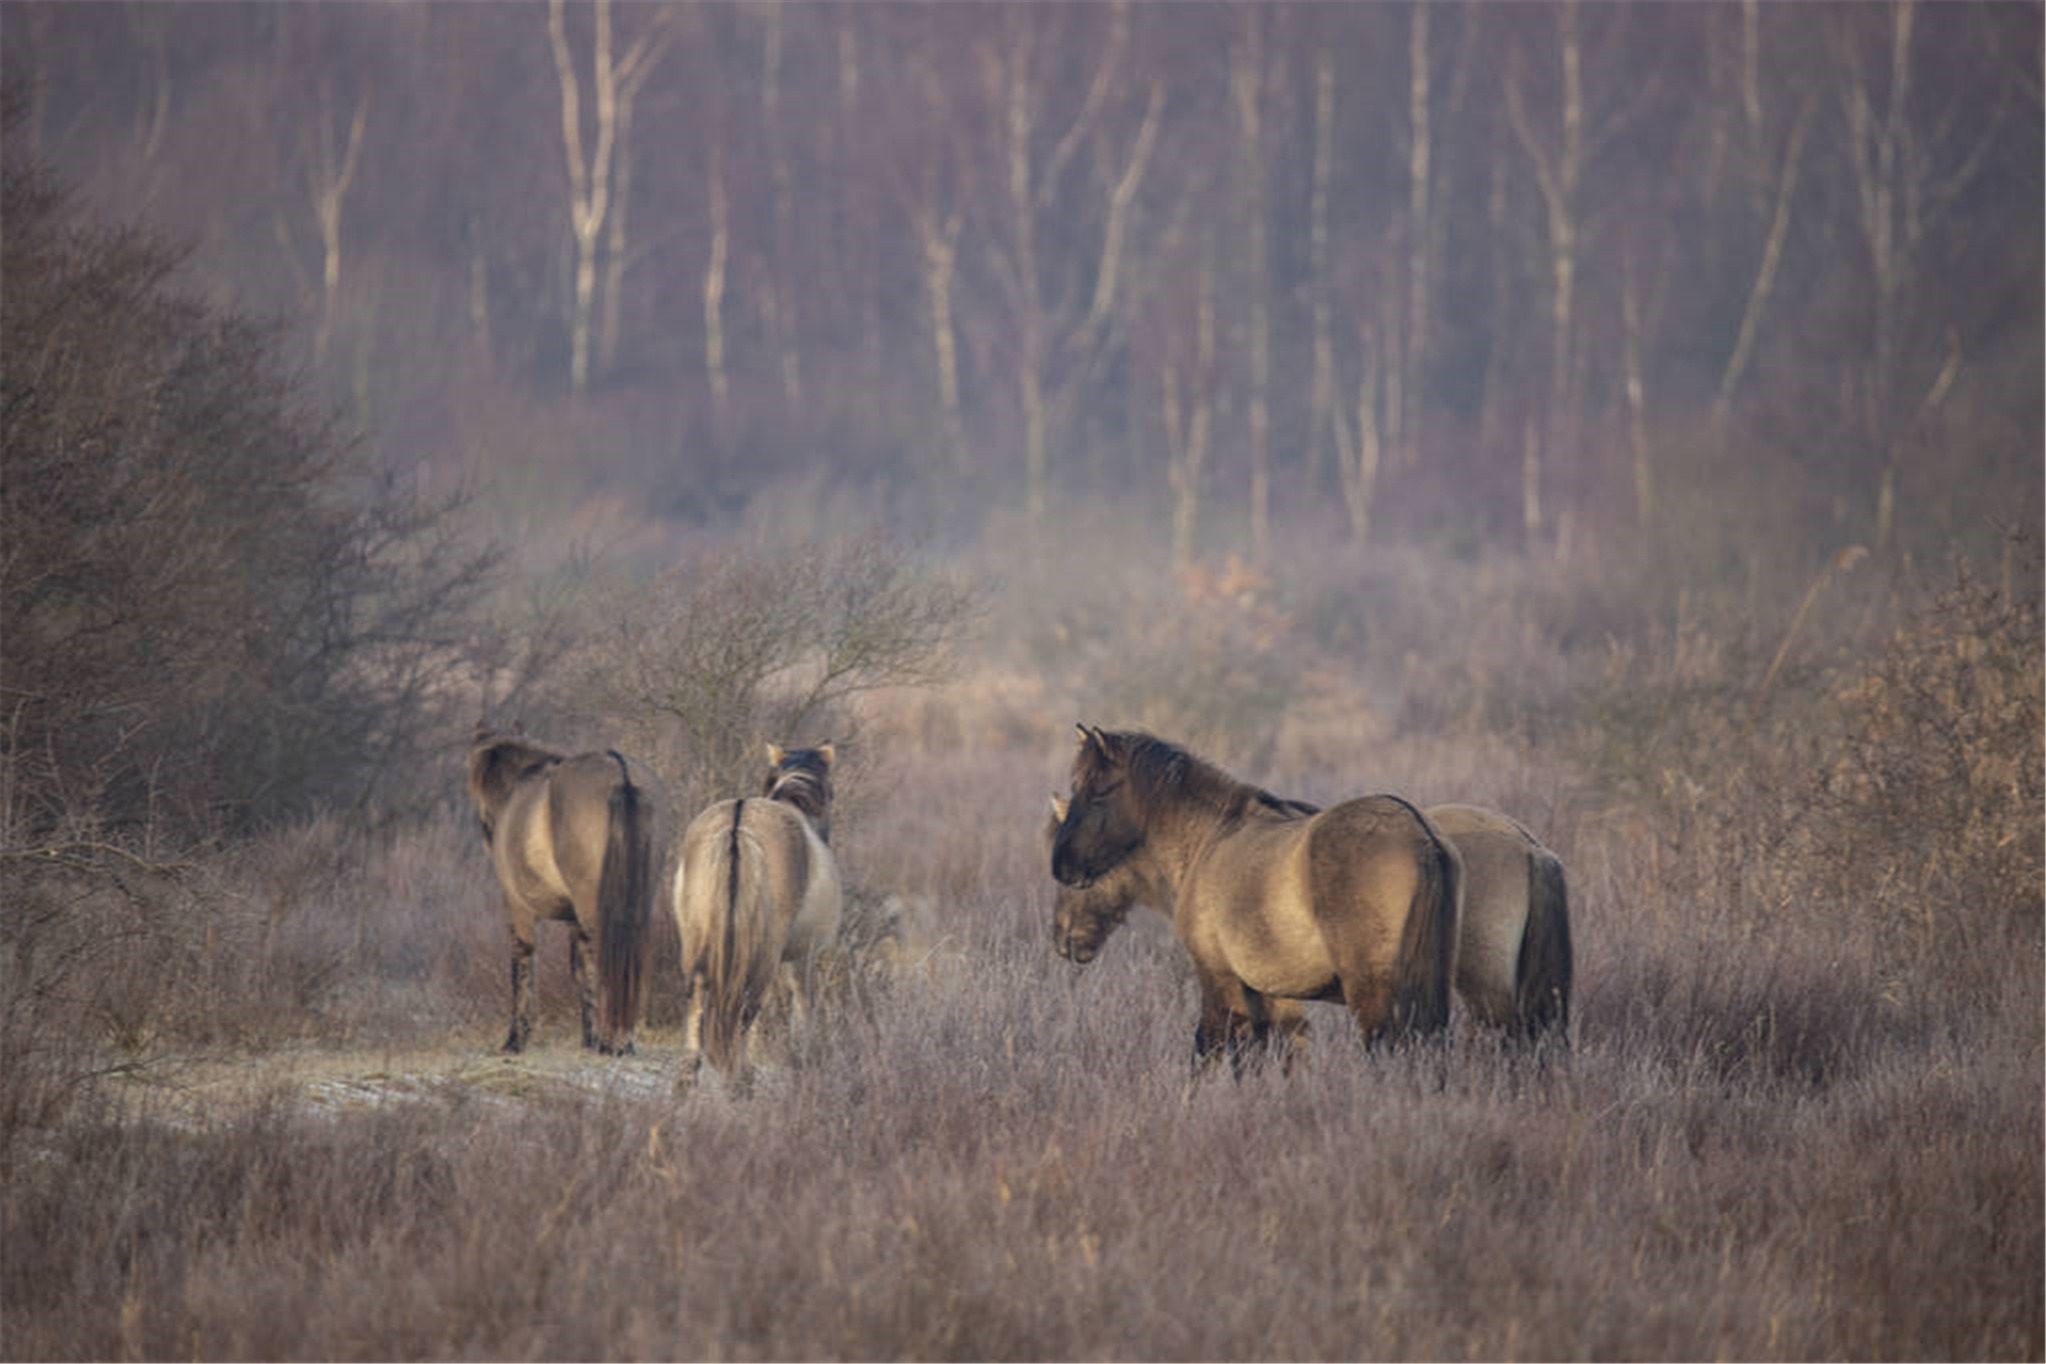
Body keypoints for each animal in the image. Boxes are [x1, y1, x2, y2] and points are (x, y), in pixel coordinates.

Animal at [466, 723, 650, 1055]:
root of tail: (621, 774)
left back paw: (614, 1041)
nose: (487, 832)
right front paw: (589, 1037)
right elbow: (581, 972)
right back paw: (620, 1040)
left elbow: (523, 965)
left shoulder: (518, 909)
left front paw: (516, 1038)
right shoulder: (574, 920)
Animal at [1047, 723, 1464, 1063]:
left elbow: (1210, 1050)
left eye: (1099, 792)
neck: (1209, 837)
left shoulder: (1219, 980)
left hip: (1373, 996)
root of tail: (1420, 836)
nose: (1061, 866)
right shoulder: (1274, 997)